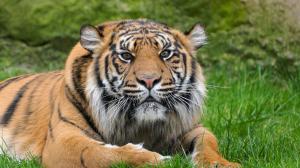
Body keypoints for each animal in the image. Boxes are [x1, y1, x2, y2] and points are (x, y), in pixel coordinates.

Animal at [0, 19, 239, 167]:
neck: (138, 125)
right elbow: (101, 154)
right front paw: (161, 160)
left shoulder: (189, 127)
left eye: (165, 53)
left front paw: (221, 164)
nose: (149, 80)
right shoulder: (62, 140)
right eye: (126, 55)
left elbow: (208, 143)